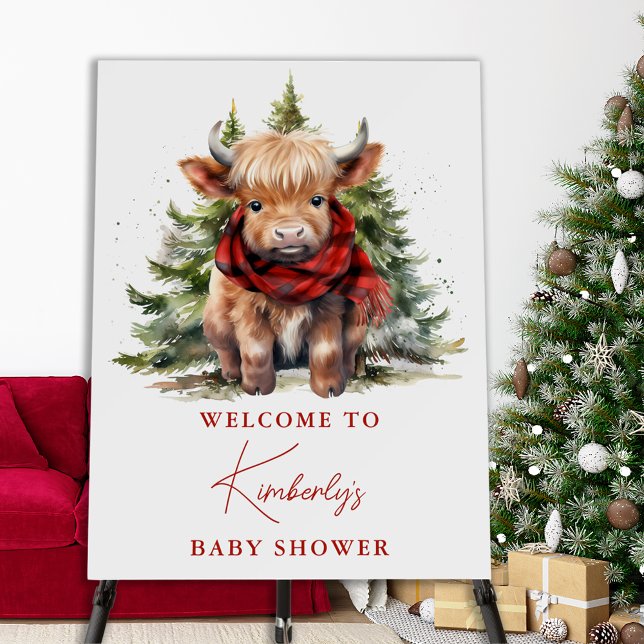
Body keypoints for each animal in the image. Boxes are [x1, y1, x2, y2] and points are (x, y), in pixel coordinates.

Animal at [179, 119, 387, 398]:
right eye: (255, 205)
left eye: (317, 200)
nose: (289, 232)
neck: (289, 279)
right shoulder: (248, 311)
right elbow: (255, 352)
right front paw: (257, 387)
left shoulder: (329, 309)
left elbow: (327, 352)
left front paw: (330, 388)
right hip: (215, 320)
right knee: (226, 350)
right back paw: (231, 374)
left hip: (356, 324)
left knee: (349, 350)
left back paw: (349, 371)